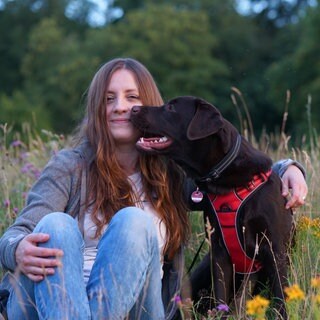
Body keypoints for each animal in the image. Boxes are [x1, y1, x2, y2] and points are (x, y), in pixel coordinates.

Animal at [131, 96, 294, 318]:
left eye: (171, 107)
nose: (133, 109)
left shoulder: (274, 249)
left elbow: (279, 296)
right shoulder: (219, 252)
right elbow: (220, 294)